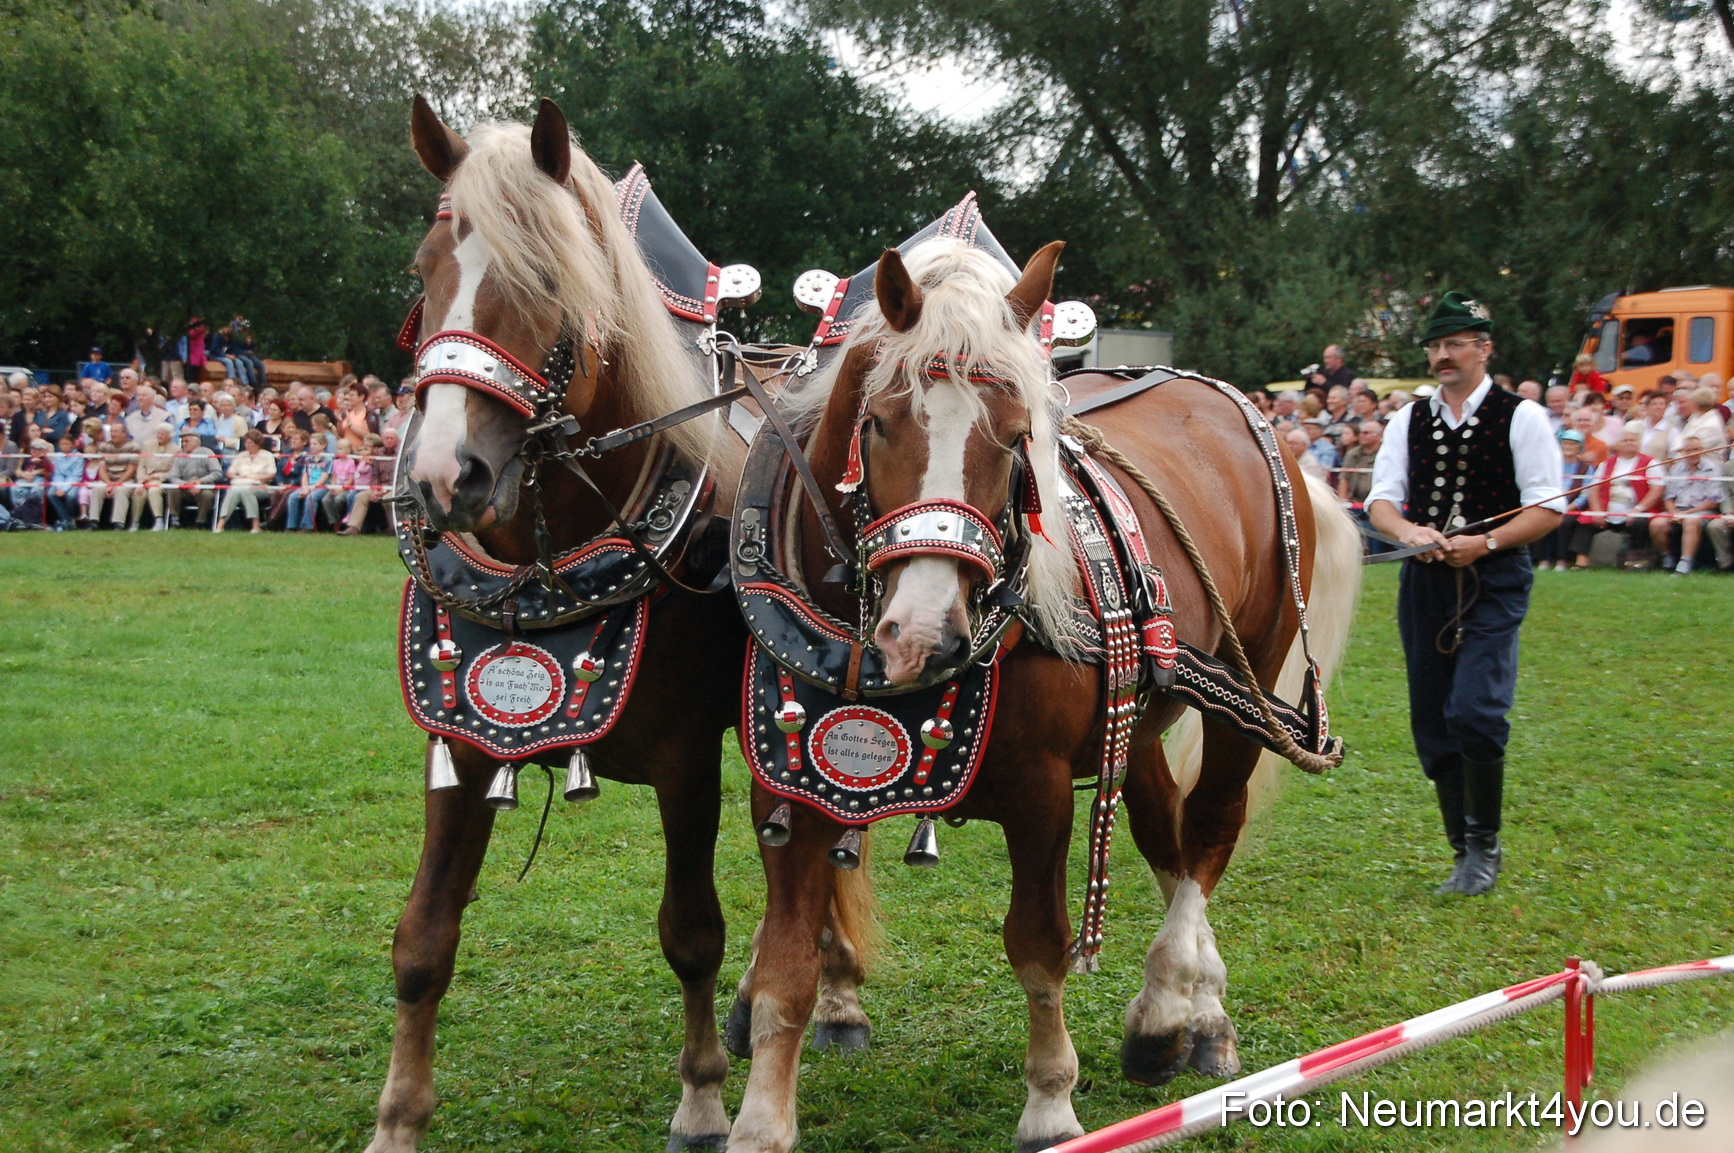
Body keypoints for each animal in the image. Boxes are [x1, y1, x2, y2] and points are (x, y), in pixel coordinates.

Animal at [724, 237, 1360, 1152]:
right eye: (879, 422)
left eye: (1020, 436)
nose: (924, 635)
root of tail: (1232, 400)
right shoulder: (793, 782)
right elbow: (786, 964)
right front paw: (759, 1119)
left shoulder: (1042, 790)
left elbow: (1038, 943)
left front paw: (1051, 1101)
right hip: (1139, 709)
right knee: (1164, 833)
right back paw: (1197, 1007)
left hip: (1250, 681)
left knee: (1208, 831)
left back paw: (1170, 1009)